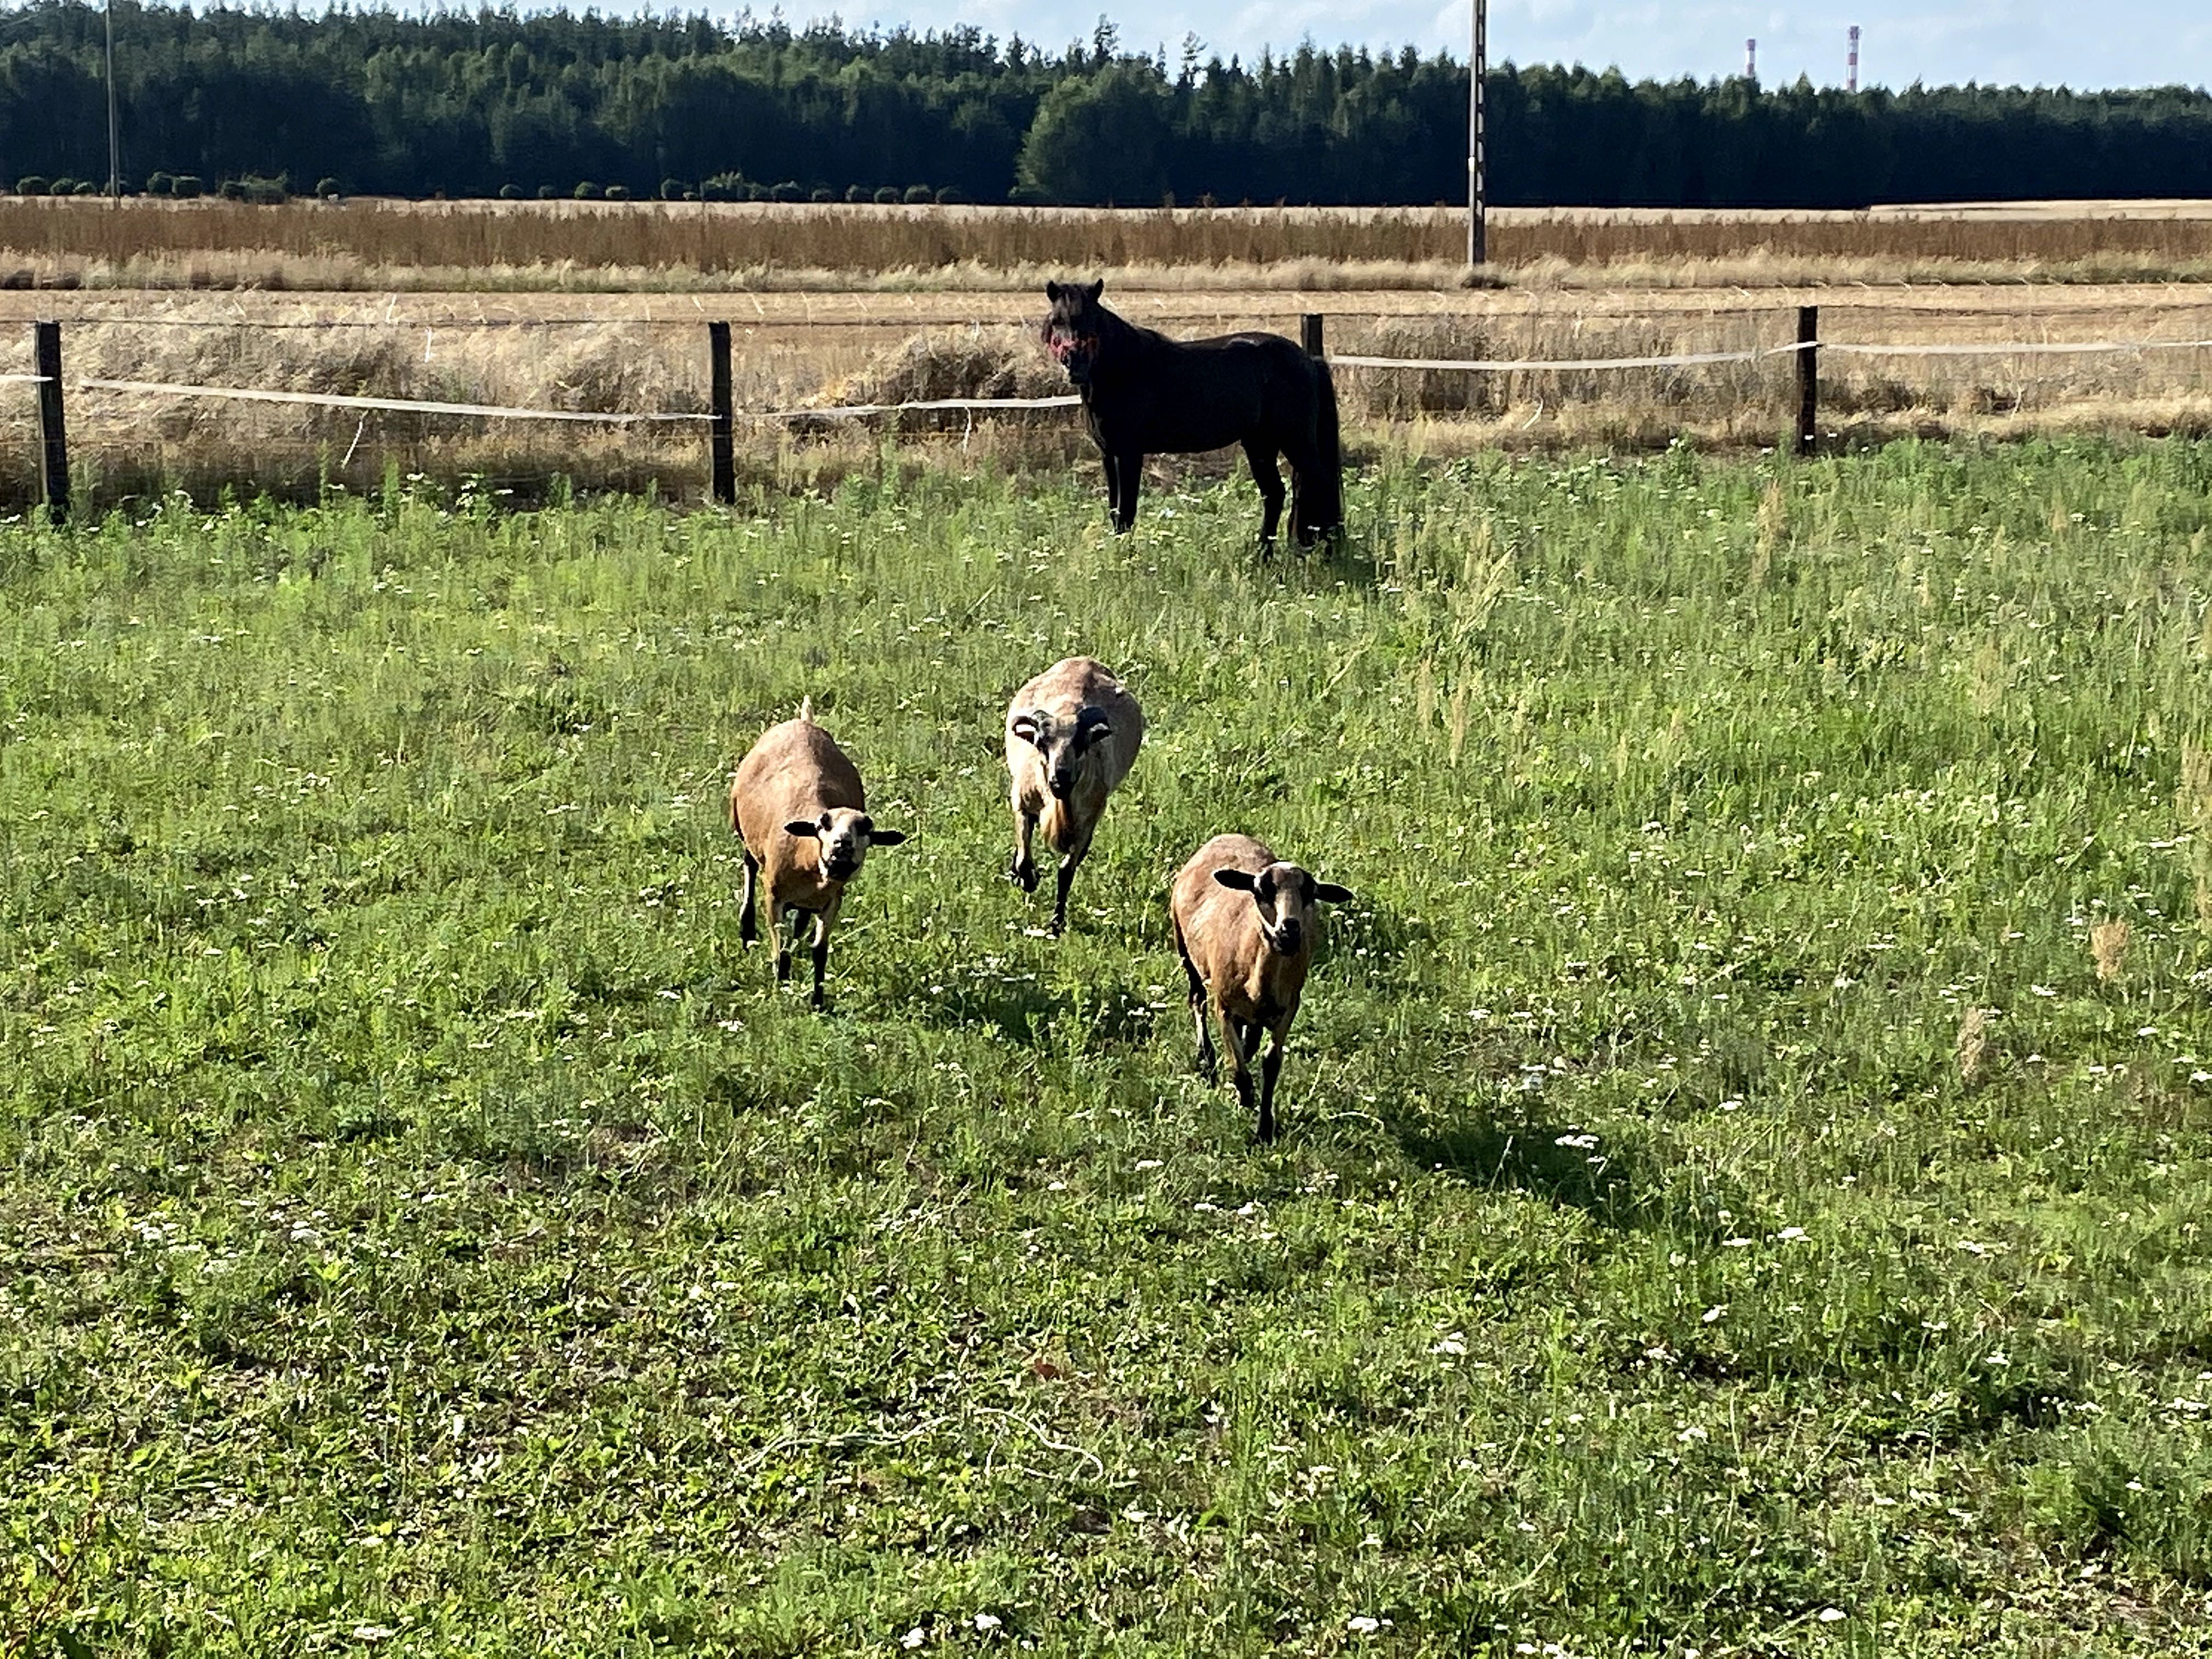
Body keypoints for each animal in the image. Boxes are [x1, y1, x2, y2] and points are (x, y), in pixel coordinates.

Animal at [721, 703, 902, 1013]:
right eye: (823, 825)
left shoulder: (832, 901)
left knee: (800, 921)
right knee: (749, 868)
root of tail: (802, 722)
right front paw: (782, 988)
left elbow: (820, 951)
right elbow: (781, 951)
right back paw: (747, 931)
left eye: (866, 829)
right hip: (743, 831)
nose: (842, 846)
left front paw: (817, 1000)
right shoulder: (774, 896)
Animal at [1004, 654, 1141, 938]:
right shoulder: (1021, 803)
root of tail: (1084, 660)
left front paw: (1056, 924)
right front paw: (1028, 881)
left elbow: (1066, 871)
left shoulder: (1086, 821)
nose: (1061, 777)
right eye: (1041, 743)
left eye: (1082, 743)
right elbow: (1024, 857)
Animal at [1040, 280, 1336, 546]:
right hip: (1260, 444)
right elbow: (1115, 511)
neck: (1125, 370)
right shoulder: (1108, 454)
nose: (1074, 364)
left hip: (1295, 440)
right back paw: (1262, 556)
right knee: (1274, 494)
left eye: (1092, 320)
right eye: (1057, 320)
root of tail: (1308, 359)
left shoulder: (1129, 453)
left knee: (1319, 485)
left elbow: (1127, 512)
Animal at [1177, 832, 1345, 1141]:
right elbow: (1237, 1064)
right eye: (1260, 891)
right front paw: (1245, 1095)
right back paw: (1206, 1060)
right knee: (1197, 999)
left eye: (1310, 895)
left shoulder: (1288, 1009)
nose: (1289, 930)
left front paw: (1265, 1128)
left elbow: (1271, 1064)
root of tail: (1226, 835)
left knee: (1250, 1036)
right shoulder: (1224, 1006)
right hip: (1184, 948)